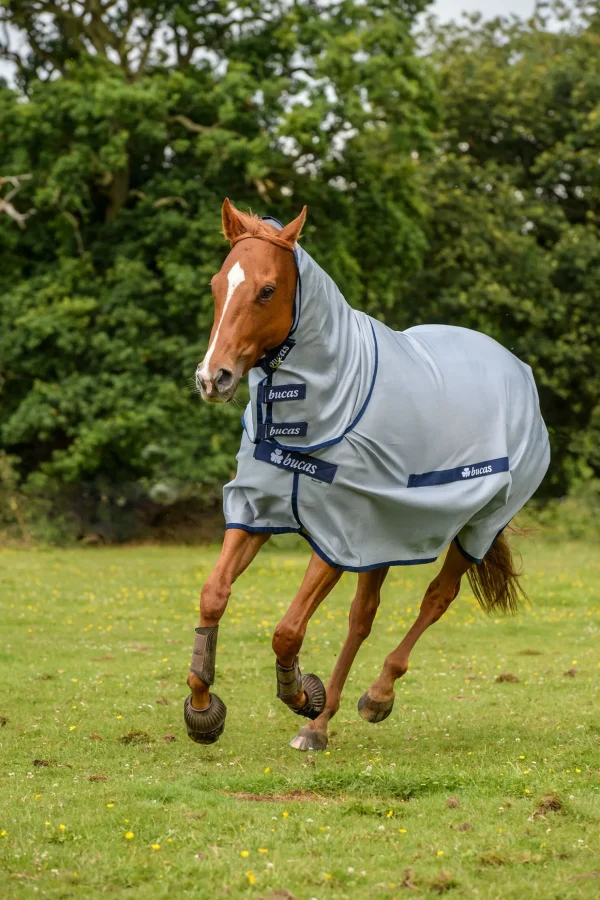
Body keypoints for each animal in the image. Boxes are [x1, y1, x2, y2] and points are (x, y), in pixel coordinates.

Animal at [185, 199, 552, 752]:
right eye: (215, 285)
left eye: (267, 290)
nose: (214, 377)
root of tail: (517, 370)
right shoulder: (258, 513)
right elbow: (213, 595)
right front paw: (203, 707)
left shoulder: (336, 533)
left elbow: (287, 631)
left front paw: (300, 693)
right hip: (383, 534)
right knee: (363, 616)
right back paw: (319, 725)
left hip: (475, 526)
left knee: (436, 599)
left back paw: (374, 697)